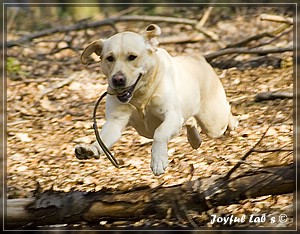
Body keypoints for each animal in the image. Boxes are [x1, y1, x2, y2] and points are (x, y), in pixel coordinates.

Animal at [74, 24, 237, 176]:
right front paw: (91, 149)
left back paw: (232, 124)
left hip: (213, 122)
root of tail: (198, 58)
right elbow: (103, 138)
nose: (117, 79)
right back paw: (195, 140)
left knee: (225, 114)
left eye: (132, 57)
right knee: (190, 121)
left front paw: (158, 160)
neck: (140, 96)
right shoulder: (115, 120)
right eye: (109, 58)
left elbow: (160, 132)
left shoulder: (171, 115)